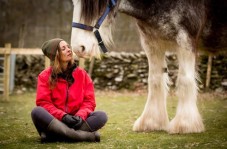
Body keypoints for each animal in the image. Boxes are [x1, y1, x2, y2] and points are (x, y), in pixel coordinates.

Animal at [70, 0, 227, 134]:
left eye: (96, 4)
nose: (78, 48)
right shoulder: (151, 42)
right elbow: (155, 81)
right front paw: (151, 122)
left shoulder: (185, 40)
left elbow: (184, 80)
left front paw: (185, 124)